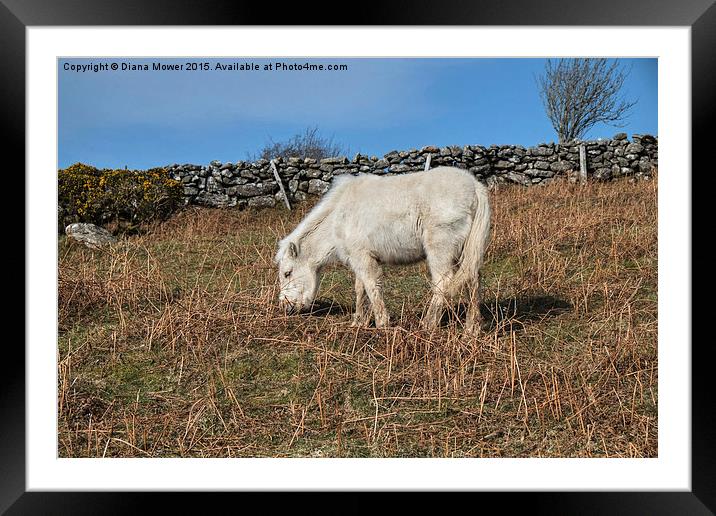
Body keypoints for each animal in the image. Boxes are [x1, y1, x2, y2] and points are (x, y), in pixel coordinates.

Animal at [274, 167, 492, 332]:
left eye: (287, 273)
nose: (285, 307)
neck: (338, 217)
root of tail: (474, 186)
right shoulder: (359, 258)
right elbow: (360, 289)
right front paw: (358, 322)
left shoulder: (363, 258)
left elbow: (371, 286)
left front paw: (381, 323)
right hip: (465, 250)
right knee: (473, 279)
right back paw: (472, 328)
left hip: (440, 248)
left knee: (443, 282)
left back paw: (428, 324)